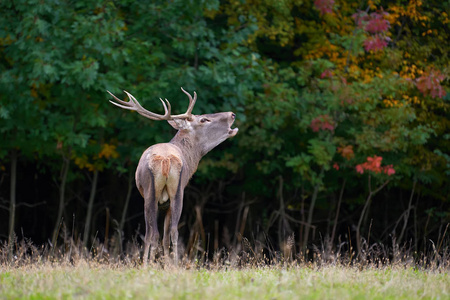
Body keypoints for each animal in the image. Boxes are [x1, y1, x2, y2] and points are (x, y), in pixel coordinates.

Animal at [107, 86, 239, 264]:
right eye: (204, 119)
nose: (232, 114)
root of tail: (165, 160)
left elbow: (157, 235)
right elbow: (166, 236)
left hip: (155, 193)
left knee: (155, 233)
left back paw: (151, 264)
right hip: (173, 192)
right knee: (169, 232)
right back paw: (169, 264)